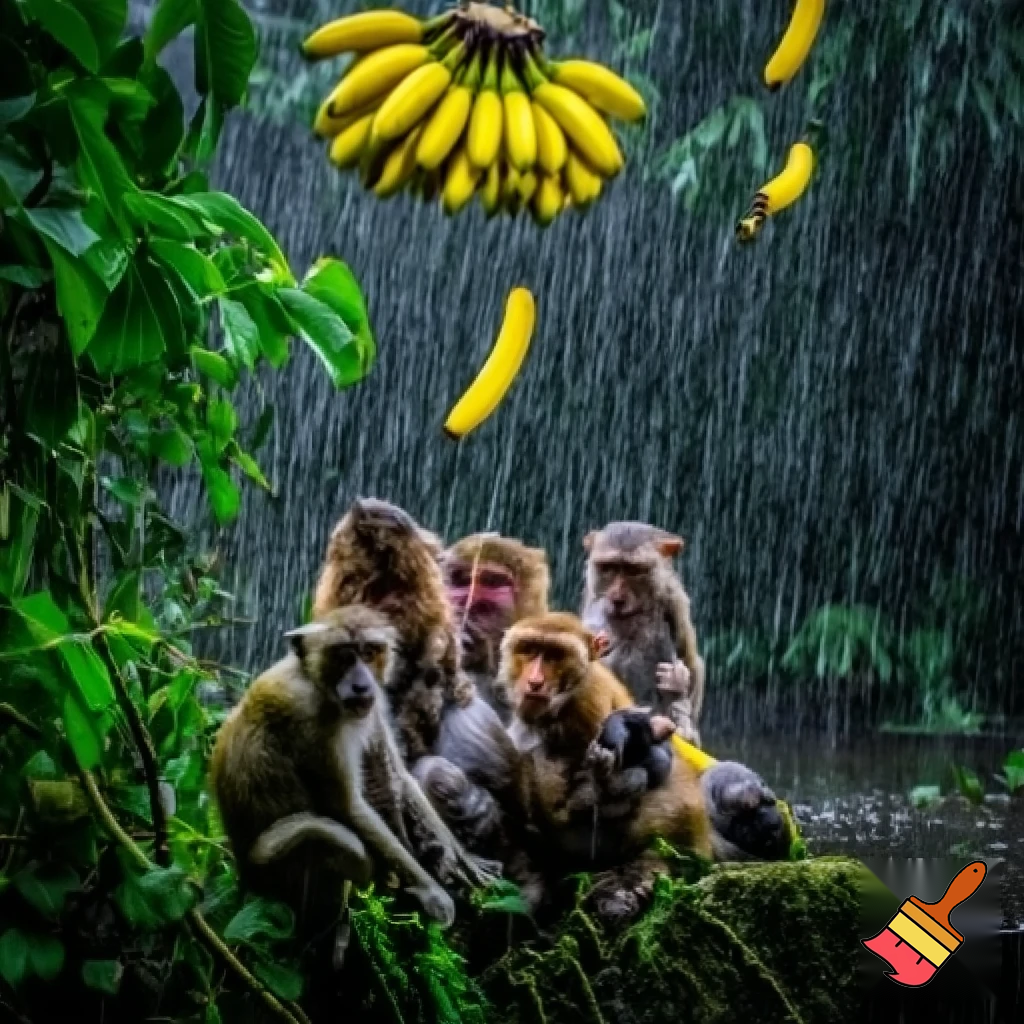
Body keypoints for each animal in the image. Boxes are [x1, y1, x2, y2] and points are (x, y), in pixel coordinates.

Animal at [209, 605, 497, 932]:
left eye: (369, 653)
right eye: (344, 656)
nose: (361, 685)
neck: (315, 681)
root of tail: (247, 878)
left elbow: (400, 775)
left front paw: (461, 856)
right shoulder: (313, 720)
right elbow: (347, 808)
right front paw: (431, 891)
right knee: (320, 841)